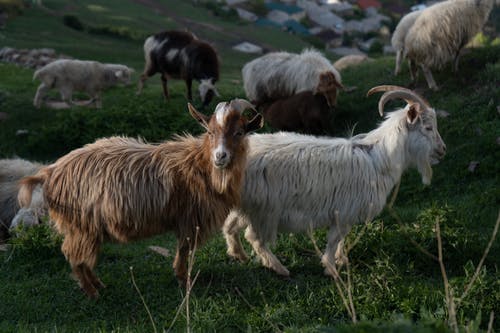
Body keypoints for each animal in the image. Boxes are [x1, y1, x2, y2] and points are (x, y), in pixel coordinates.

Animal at [18, 99, 264, 298]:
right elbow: (184, 249)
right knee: (74, 256)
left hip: (87, 228)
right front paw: (183, 280)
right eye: (210, 132)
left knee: (82, 257)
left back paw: (99, 285)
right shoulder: (189, 218)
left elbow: (183, 249)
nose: (220, 156)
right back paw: (92, 292)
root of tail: (50, 172)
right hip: (80, 225)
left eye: (239, 132)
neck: (199, 164)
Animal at [223, 85, 446, 274]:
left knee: (230, 226)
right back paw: (279, 268)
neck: (378, 158)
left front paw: (341, 260)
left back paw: (239, 255)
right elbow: (333, 240)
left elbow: (340, 240)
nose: (442, 150)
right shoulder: (343, 211)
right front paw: (331, 269)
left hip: (246, 206)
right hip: (263, 208)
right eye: (427, 127)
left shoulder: (345, 214)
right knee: (254, 237)